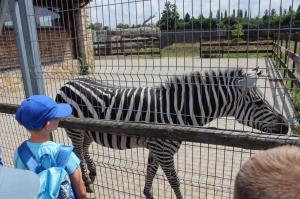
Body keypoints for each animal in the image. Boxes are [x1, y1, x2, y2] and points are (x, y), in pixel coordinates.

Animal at [55, 68, 288, 197]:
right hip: (75, 130)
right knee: (77, 153)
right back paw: (86, 183)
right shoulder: (163, 150)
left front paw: (147, 194)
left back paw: (92, 174)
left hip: (87, 131)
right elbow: (174, 180)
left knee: (84, 150)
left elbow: (150, 171)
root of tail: (68, 82)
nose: (286, 126)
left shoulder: (157, 148)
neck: (176, 109)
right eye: (258, 102)